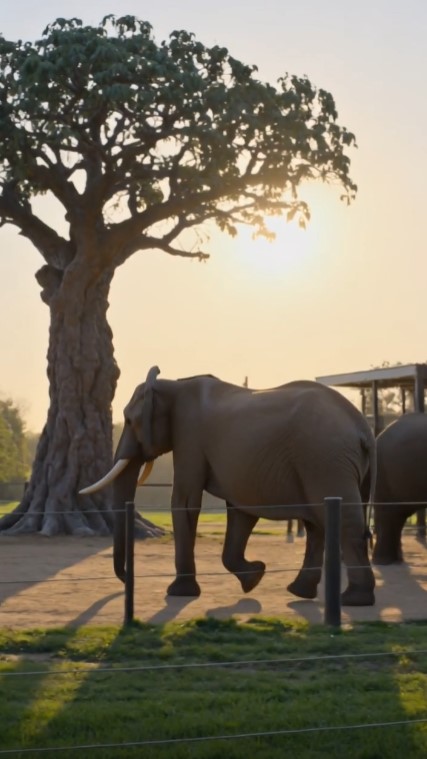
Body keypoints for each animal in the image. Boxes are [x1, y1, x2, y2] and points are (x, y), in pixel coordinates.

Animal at [80, 366, 376, 606]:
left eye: (130, 421)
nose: (126, 579)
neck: (173, 385)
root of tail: (363, 429)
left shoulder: (189, 435)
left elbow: (185, 502)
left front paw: (179, 592)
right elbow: (240, 511)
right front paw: (254, 577)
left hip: (325, 459)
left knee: (342, 522)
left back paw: (354, 600)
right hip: (330, 463)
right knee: (319, 524)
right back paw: (301, 592)